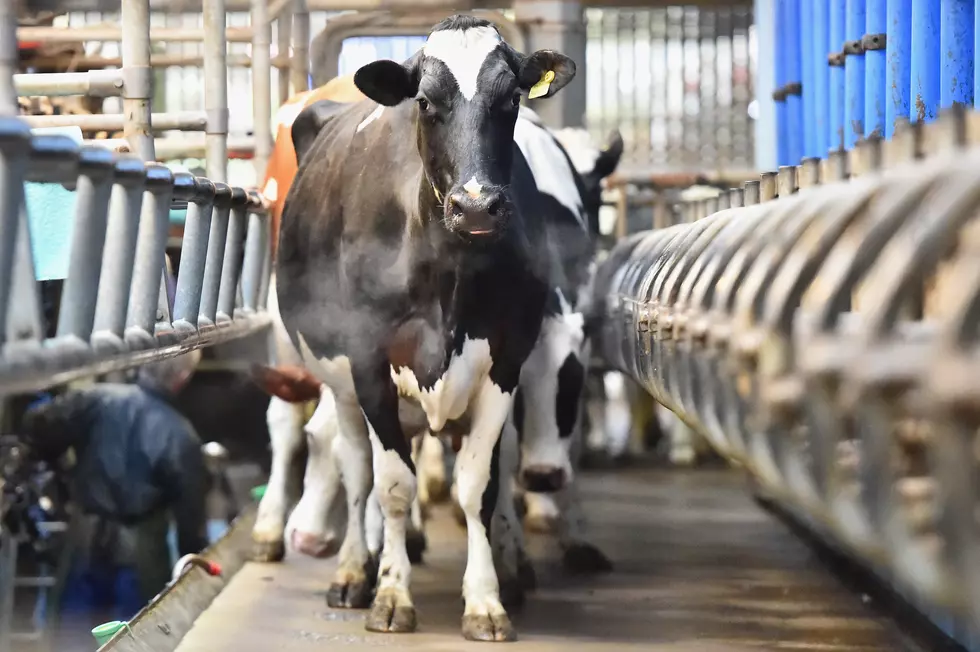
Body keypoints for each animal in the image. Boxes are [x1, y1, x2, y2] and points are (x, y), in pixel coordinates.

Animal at [272, 16, 580, 640]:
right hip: (340, 385)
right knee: (354, 468)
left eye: (511, 99)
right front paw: (391, 594)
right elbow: (393, 485)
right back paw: (352, 571)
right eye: (424, 101)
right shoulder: (369, 366)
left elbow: (478, 485)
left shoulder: (504, 362)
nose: (477, 206)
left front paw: (486, 600)